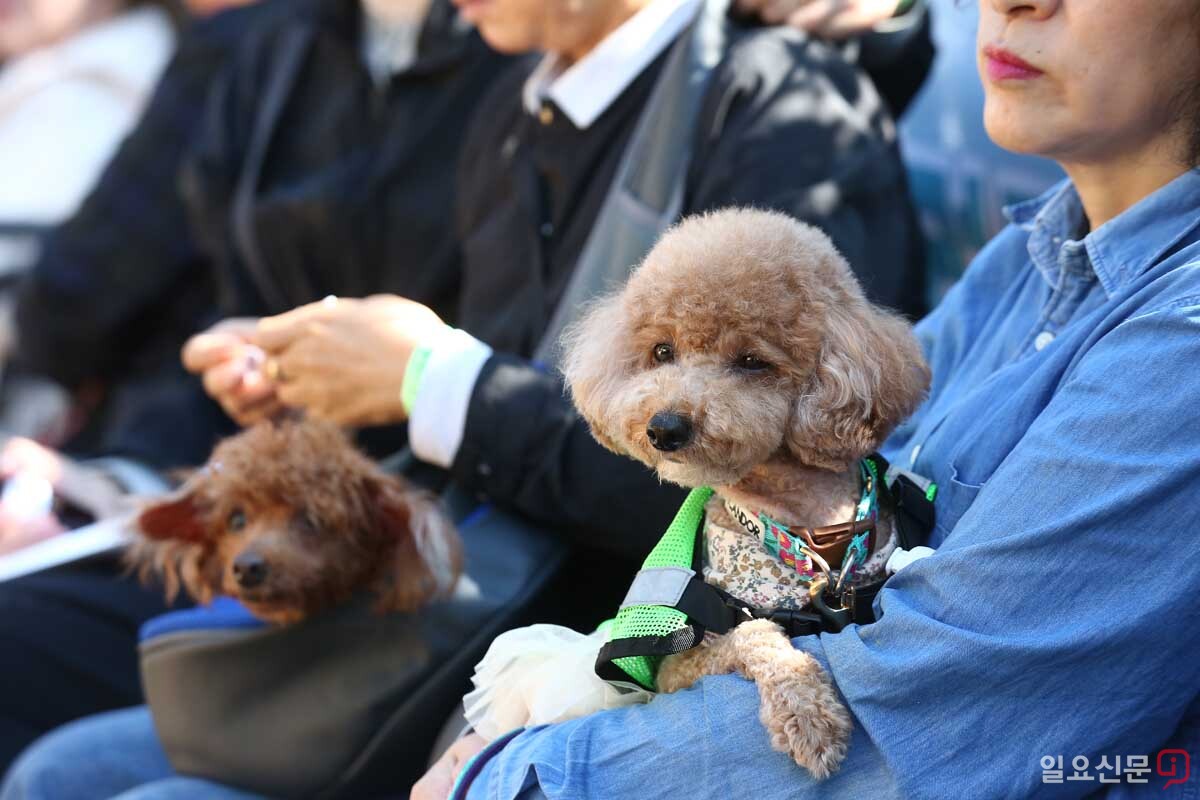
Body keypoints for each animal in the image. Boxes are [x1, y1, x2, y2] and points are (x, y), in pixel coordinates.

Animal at [561, 206, 926, 777]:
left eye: (753, 361)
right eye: (661, 351)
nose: (664, 427)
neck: (804, 533)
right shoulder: (679, 667)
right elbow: (753, 636)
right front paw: (807, 714)